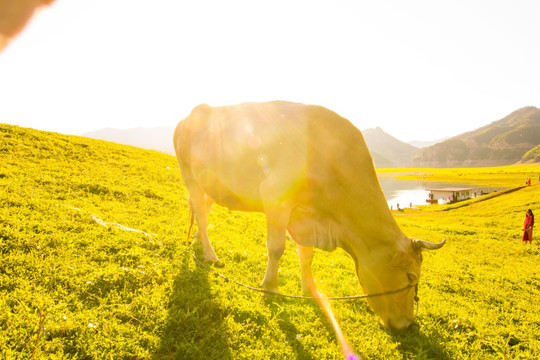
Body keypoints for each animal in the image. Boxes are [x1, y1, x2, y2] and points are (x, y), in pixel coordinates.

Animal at [173, 100, 442, 330]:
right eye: (410, 277)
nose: (407, 324)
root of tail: (190, 116)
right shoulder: (276, 195)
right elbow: (276, 248)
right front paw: (270, 287)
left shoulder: (304, 217)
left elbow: (306, 255)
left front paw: (308, 288)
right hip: (189, 176)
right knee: (201, 215)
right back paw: (210, 254)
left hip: (211, 183)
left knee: (202, 209)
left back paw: (198, 242)